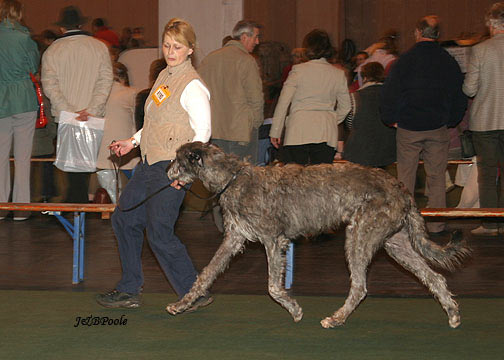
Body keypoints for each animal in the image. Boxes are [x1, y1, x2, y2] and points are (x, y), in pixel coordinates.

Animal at [165, 142, 468, 328]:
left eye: (177, 159)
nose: (166, 171)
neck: (233, 178)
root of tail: (401, 189)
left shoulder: (273, 239)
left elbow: (273, 286)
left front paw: (294, 309)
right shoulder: (234, 238)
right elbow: (206, 273)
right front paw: (182, 304)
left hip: (359, 237)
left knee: (360, 287)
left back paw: (336, 318)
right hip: (396, 243)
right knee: (434, 277)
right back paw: (453, 314)